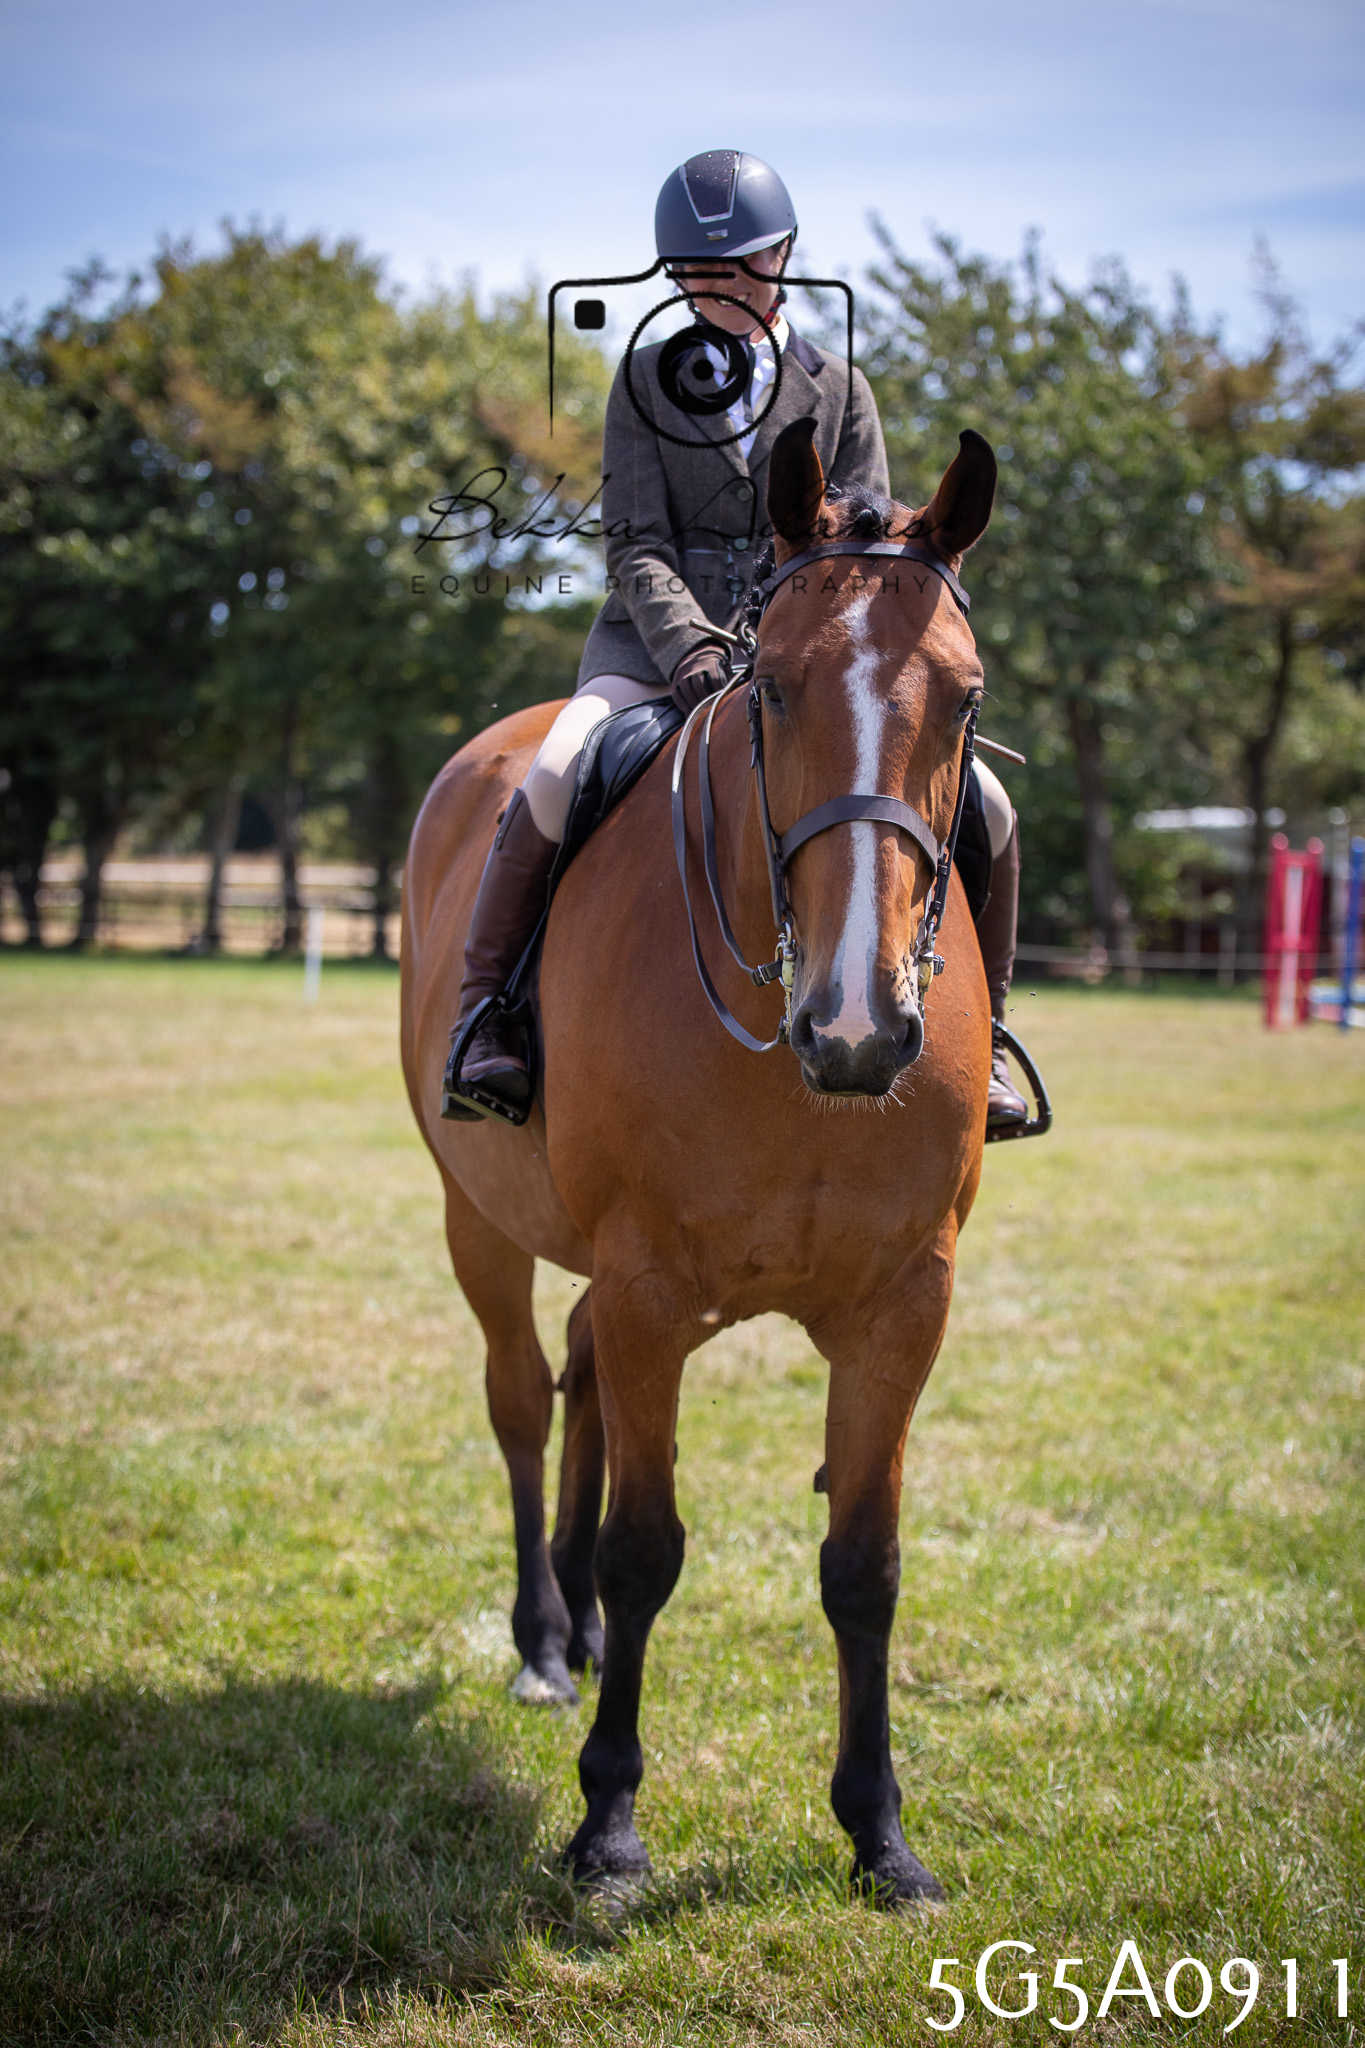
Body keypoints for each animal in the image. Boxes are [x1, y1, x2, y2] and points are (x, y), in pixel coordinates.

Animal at [399, 416, 996, 1904]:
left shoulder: (904, 1306)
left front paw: (878, 1829)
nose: (858, 1025)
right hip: (477, 1217)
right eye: (770, 691)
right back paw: (545, 1640)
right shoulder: (653, 1285)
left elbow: (864, 1563)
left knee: (581, 1379)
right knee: (522, 1395)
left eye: (963, 700)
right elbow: (646, 1550)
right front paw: (608, 1823)